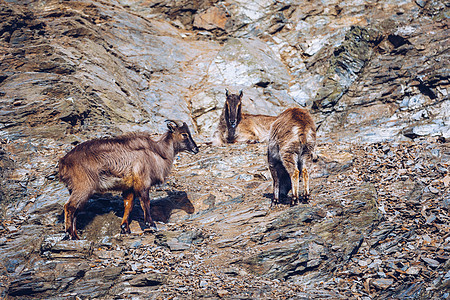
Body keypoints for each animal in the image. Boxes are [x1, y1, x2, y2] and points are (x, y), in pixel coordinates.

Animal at [58, 119, 199, 239]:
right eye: (184, 134)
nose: (196, 149)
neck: (157, 153)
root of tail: (63, 162)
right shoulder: (142, 183)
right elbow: (145, 202)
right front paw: (151, 225)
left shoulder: (129, 188)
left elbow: (128, 206)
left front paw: (125, 228)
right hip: (83, 187)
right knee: (69, 207)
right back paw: (71, 235)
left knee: (75, 210)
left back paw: (75, 235)